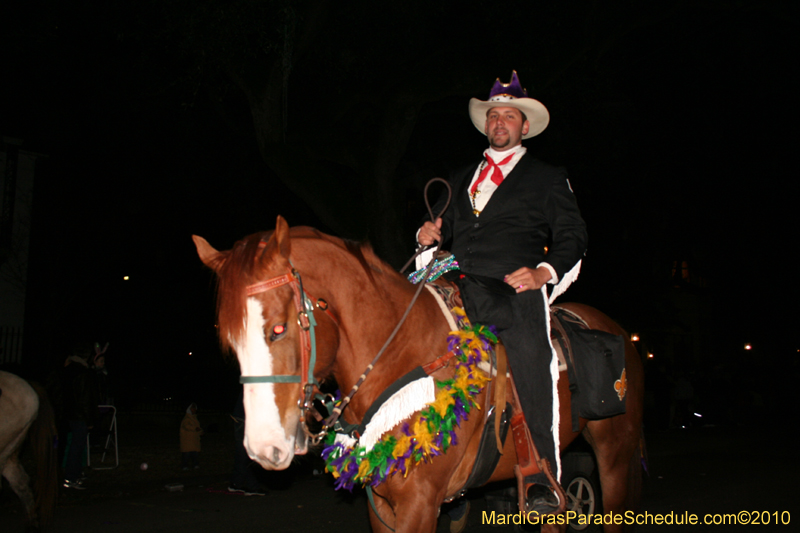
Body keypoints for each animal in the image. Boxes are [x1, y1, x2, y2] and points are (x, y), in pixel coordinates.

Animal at [195, 214, 644, 528]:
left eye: (278, 328)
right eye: (229, 342)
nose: (262, 448)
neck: (401, 356)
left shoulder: (420, 503)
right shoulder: (383, 504)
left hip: (615, 454)